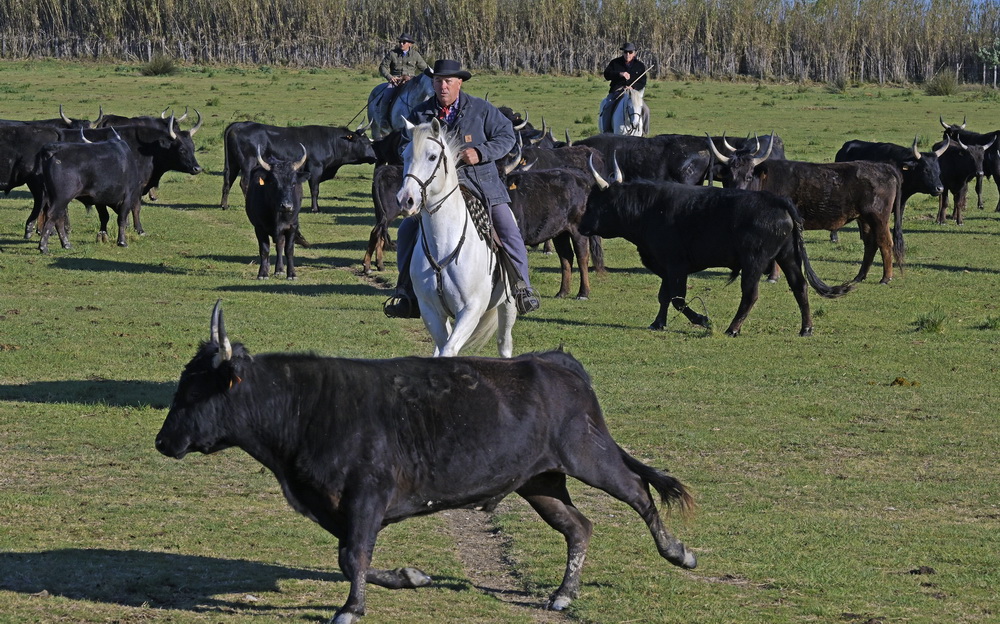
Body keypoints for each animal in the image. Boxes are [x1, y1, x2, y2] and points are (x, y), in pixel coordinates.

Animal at [156, 302, 700, 624]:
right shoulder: (337, 506)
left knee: (638, 493)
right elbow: (354, 557)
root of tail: (552, 361)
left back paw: (679, 553)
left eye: (196, 389)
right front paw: (411, 577)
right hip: (540, 481)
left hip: (590, 455)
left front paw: (351, 609)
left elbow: (352, 557)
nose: (163, 441)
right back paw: (564, 594)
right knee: (578, 526)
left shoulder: (366, 496)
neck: (302, 406)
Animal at [221, 122, 376, 214]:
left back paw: (224, 205)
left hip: (233, 163)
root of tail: (237, 125)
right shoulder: (315, 169)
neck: (330, 142)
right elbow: (315, 190)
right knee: (244, 183)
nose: (375, 158)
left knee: (228, 181)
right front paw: (315, 209)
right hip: (248, 163)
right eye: (365, 142)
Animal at [244, 145, 306, 280]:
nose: (287, 206)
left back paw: (279, 270)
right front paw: (262, 273)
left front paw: (291, 274)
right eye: (273, 183)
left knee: (280, 245)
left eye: (293, 183)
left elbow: (288, 250)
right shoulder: (259, 227)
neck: (277, 214)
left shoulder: (292, 226)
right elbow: (264, 250)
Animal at [396, 119, 516, 358]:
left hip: (508, 304)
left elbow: (449, 350)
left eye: (433, 156)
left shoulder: (471, 310)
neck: (443, 243)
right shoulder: (430, 310)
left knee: (504, 343)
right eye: (404, 156)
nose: (406, 200)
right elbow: (443, 348)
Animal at [712, 141, 908, 282]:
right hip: (864, 219)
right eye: (729, 177)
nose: (738, 192)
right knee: (870, 244)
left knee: (885, 243)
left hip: (878, 217)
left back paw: (886, 278)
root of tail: (884, 167)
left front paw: (773, 276)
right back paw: (860, 276)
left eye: (748, 176)